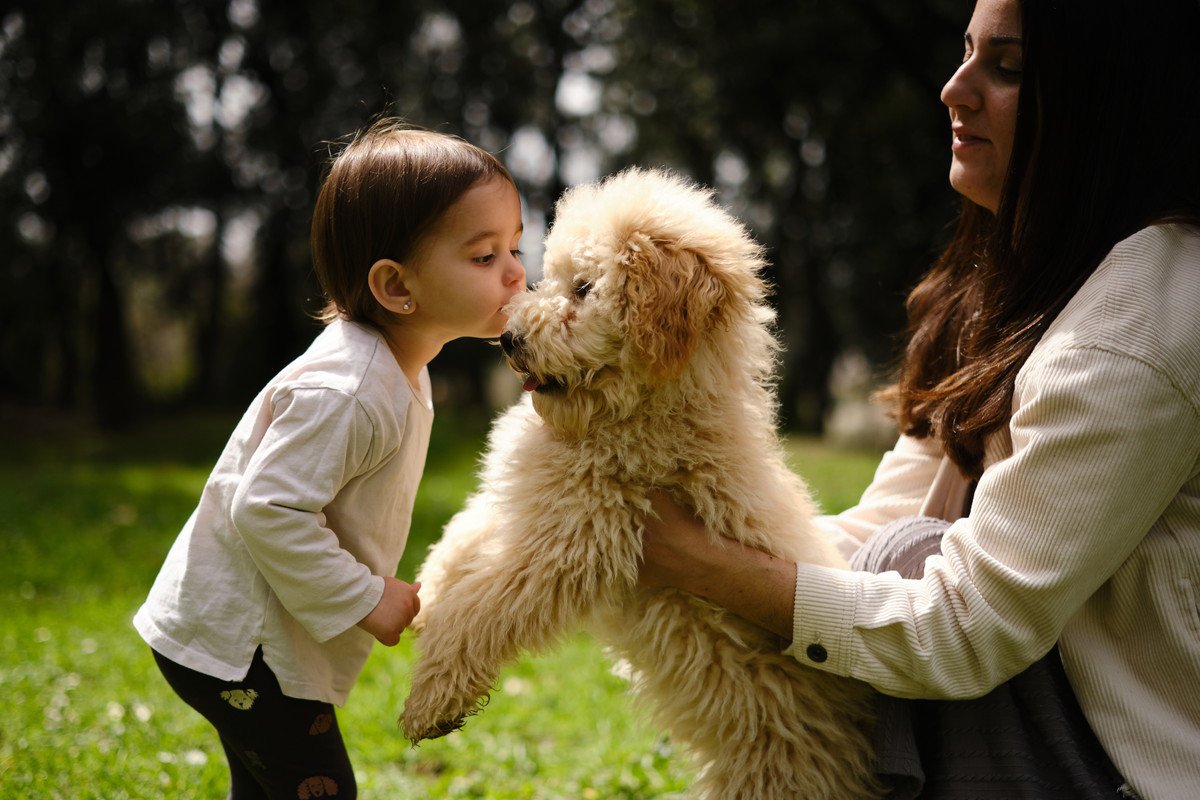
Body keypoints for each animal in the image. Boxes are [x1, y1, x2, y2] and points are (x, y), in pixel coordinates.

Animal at [398, 169, 878, 800]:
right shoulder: (534, 504)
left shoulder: (573, 542)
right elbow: (464, 536)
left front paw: (430, 700)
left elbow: (483, 607)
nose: (508, 339)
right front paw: (426, 596)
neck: (629, 415)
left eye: (583, 288)